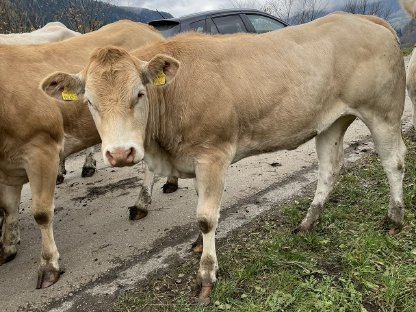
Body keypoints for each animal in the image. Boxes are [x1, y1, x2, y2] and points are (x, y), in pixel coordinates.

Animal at [0, 19, 166, 288]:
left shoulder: (41, 150)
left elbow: (41, 213)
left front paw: (49, 265)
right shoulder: (6, 165)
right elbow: (8, 209)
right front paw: (8, 248)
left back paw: (142, 202)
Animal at [42, 12, 406, 302]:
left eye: (140, 93)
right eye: (89, 101)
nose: (119, 153)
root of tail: (362, 18)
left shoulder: (212, 155)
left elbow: (206, 216)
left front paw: (206, 275)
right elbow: (203, 206)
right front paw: (199, 246)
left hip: (382, 112)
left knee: (394, 161)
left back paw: (394, 219)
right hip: (331, 121)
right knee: (330, 168)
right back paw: (308, 221)